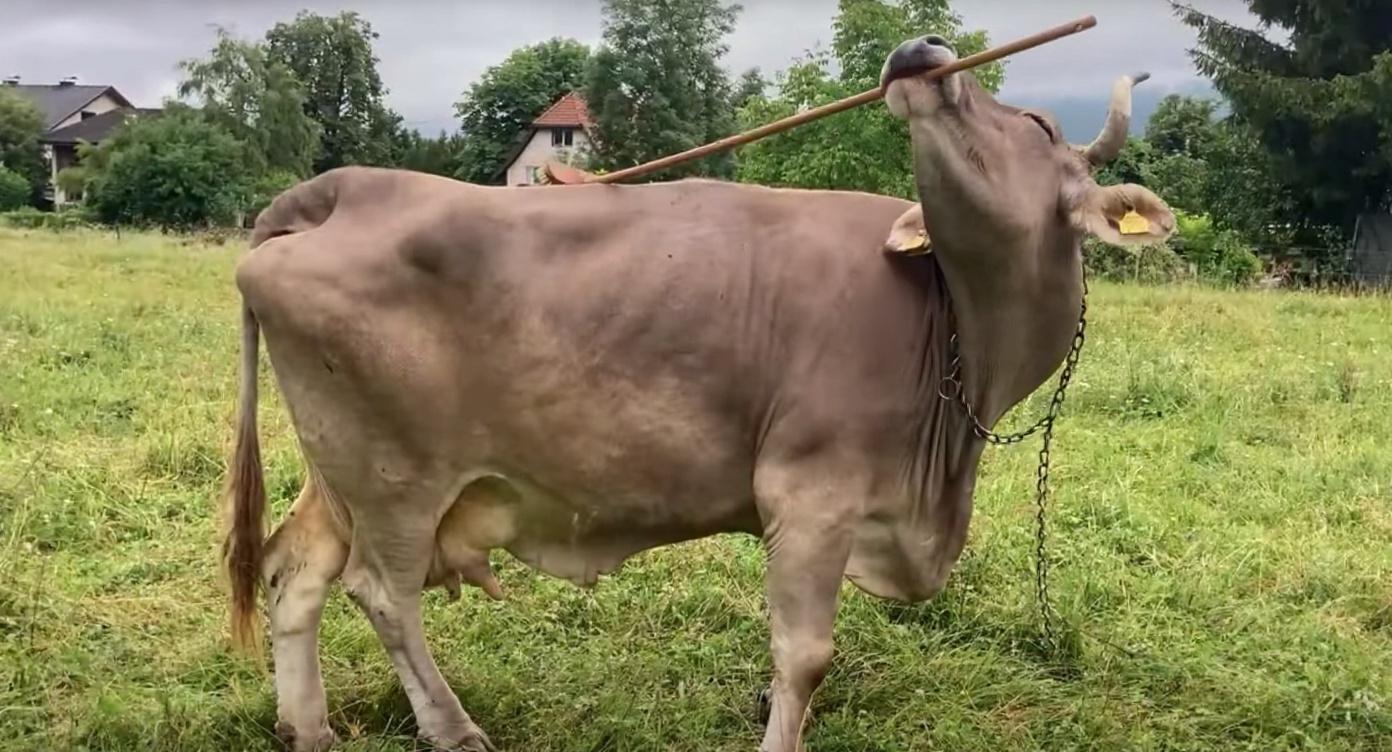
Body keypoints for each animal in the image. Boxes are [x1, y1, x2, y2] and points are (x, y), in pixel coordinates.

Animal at [222, 35, 1174, 752]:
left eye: (1039, 121)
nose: (921, 47)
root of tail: (345, 186)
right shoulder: (810, 491)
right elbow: (804, 655)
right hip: (395, 477)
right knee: (382, 594)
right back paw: (456, 732)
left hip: (337, 468)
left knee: (295, 570)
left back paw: (308, 728)